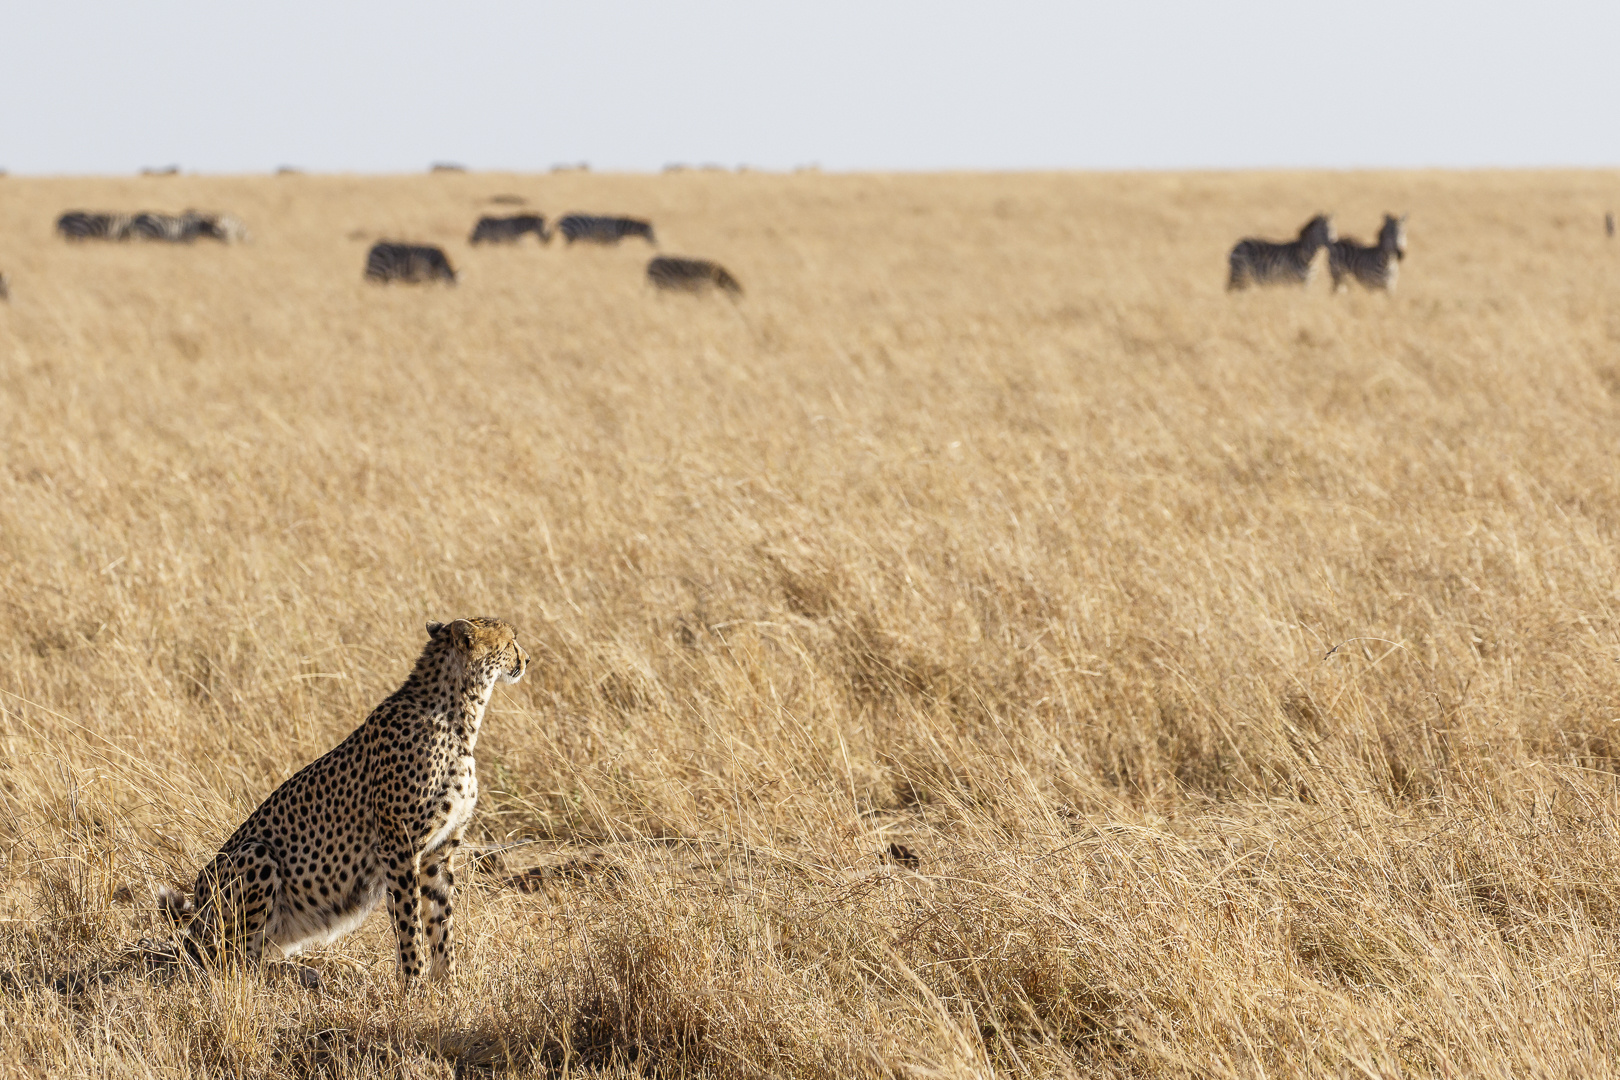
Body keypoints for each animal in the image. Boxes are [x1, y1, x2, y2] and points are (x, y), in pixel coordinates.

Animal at [157, 615, 528, 990]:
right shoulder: (399, 847)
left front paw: (447, 984)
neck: (460, 716)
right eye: (510, 641)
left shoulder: (438, 852)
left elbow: (441, 923)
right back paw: (306, 974)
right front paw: (414, 984)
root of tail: (194, 920)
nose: (526, 659)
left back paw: (326, 969)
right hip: (255, 854)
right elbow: (408, 922)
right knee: (231, 963)